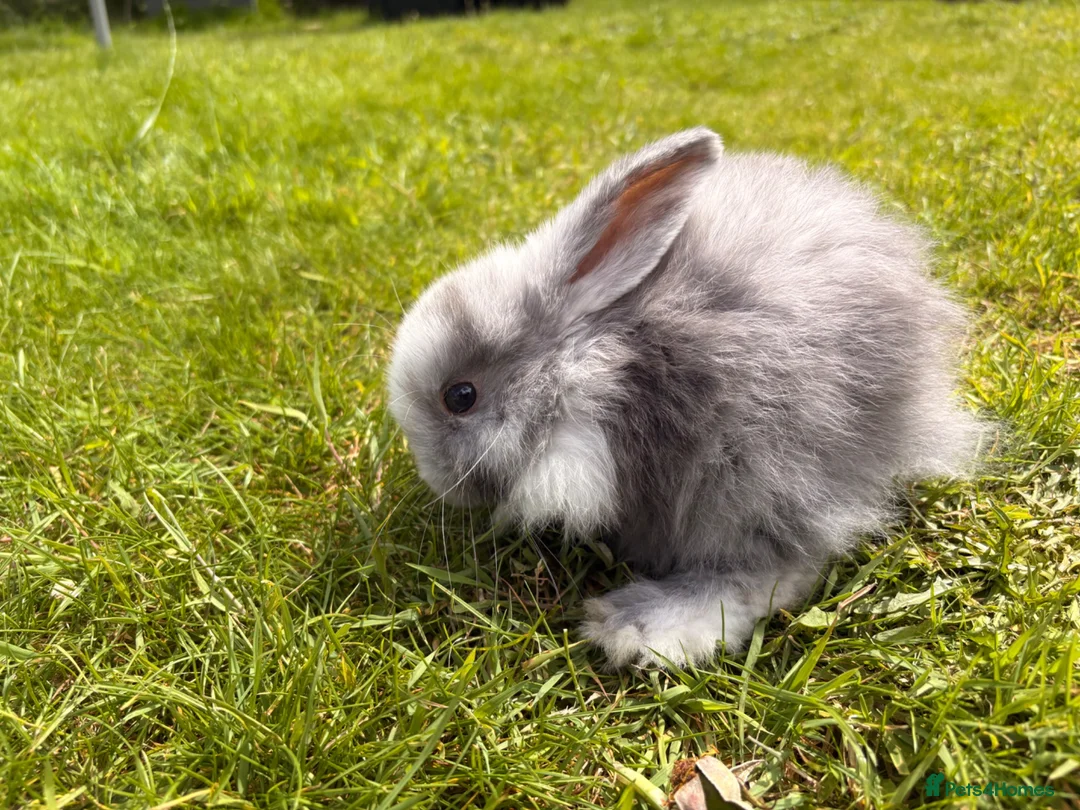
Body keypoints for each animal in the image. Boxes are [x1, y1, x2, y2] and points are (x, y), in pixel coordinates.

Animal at [387, 127, 980, 668]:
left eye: (460, 396)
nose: (435, 481)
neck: (591, 366)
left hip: (756, 469)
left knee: (774, 569)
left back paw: (640, 624)